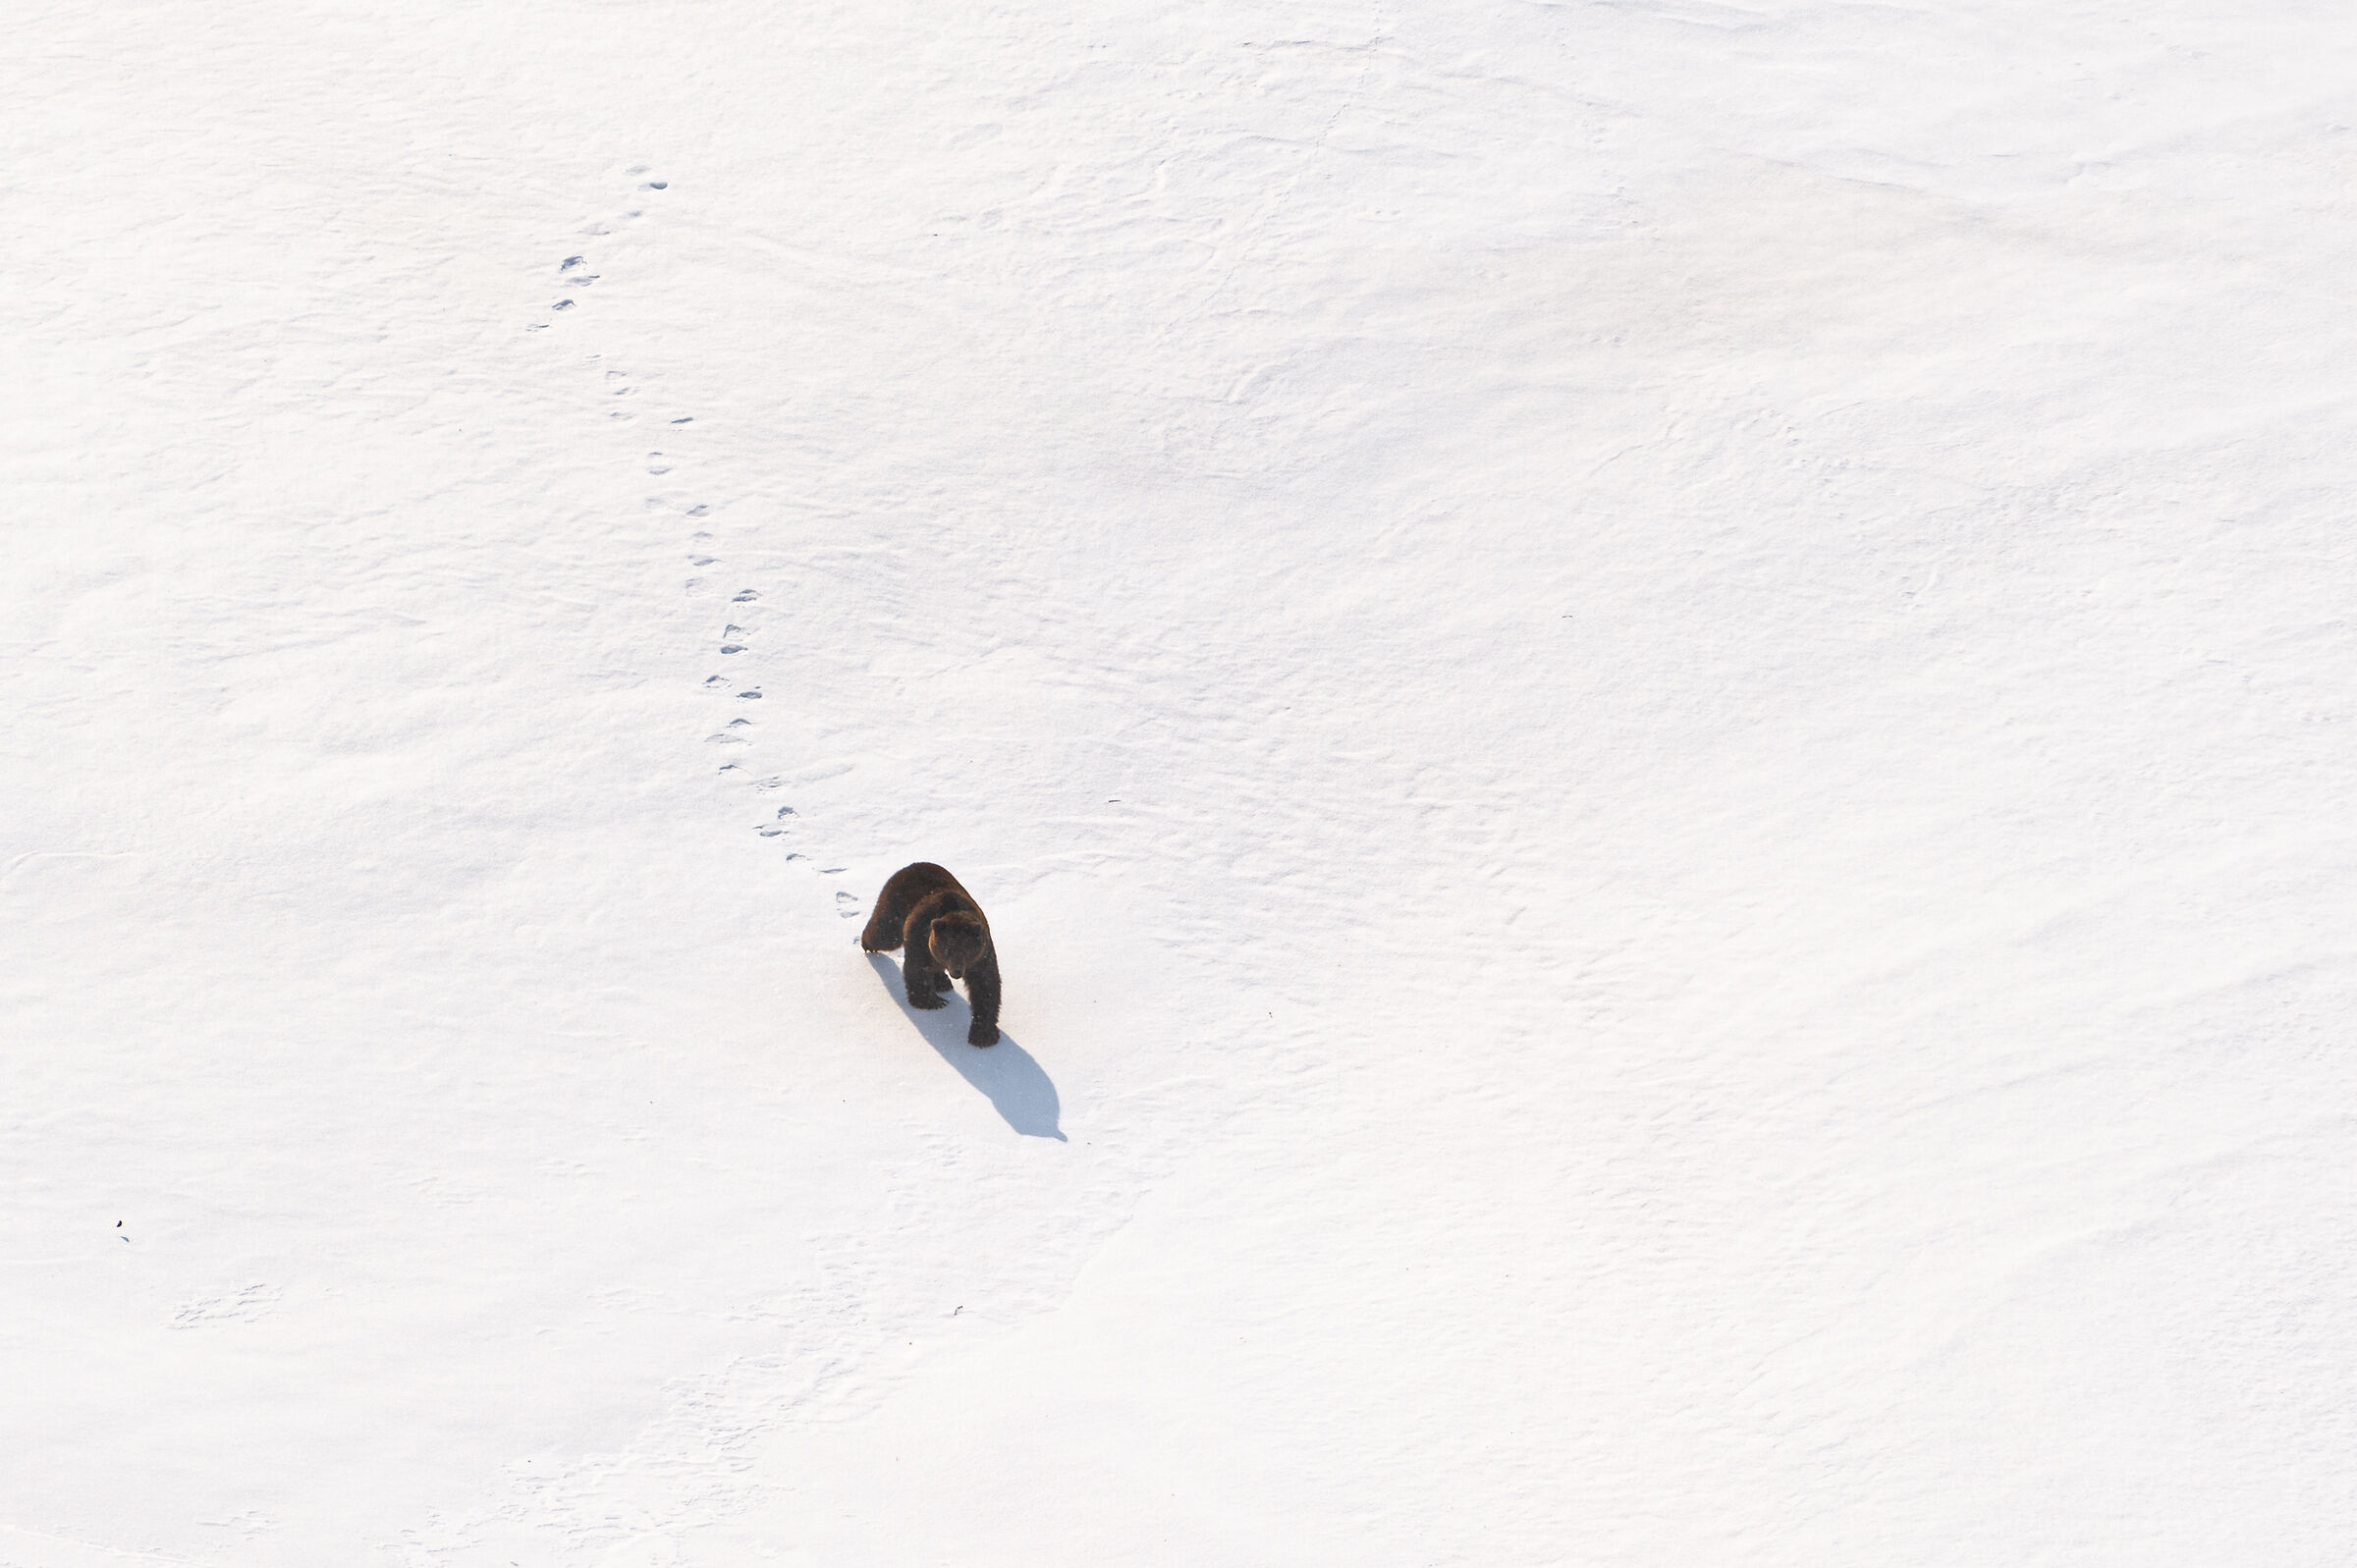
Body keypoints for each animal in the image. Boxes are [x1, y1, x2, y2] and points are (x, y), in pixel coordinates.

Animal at [859, 862, 1002, 1047]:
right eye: (947, 949)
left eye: (966, 950)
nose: (957, 972)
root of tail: (909, 867)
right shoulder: (921, 937)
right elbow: (917, 969)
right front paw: (933, 1002)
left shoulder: (981, 954)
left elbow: (986, 986)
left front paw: (983, 1034)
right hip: (896, 905)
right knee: (885, 933)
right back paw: (867, 944)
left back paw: (942, 981)